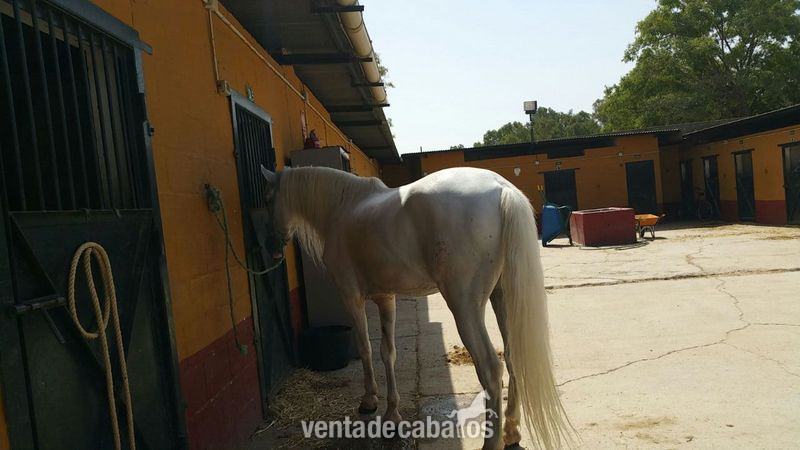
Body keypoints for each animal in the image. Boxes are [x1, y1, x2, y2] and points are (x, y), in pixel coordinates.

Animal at [259, 165, 574, 449]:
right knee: (512, 357)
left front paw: (369, 401)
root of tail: (501, 189)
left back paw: (492, 441)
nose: (271, 248)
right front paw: (392, 414)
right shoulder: (386, 298)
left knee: (490, 369)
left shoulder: (352, 298)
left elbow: (365, 348)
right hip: (502, 299)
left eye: (268, 199)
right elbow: (388, 352)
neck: (341, 208)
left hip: (465, 307)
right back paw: (511, 431)